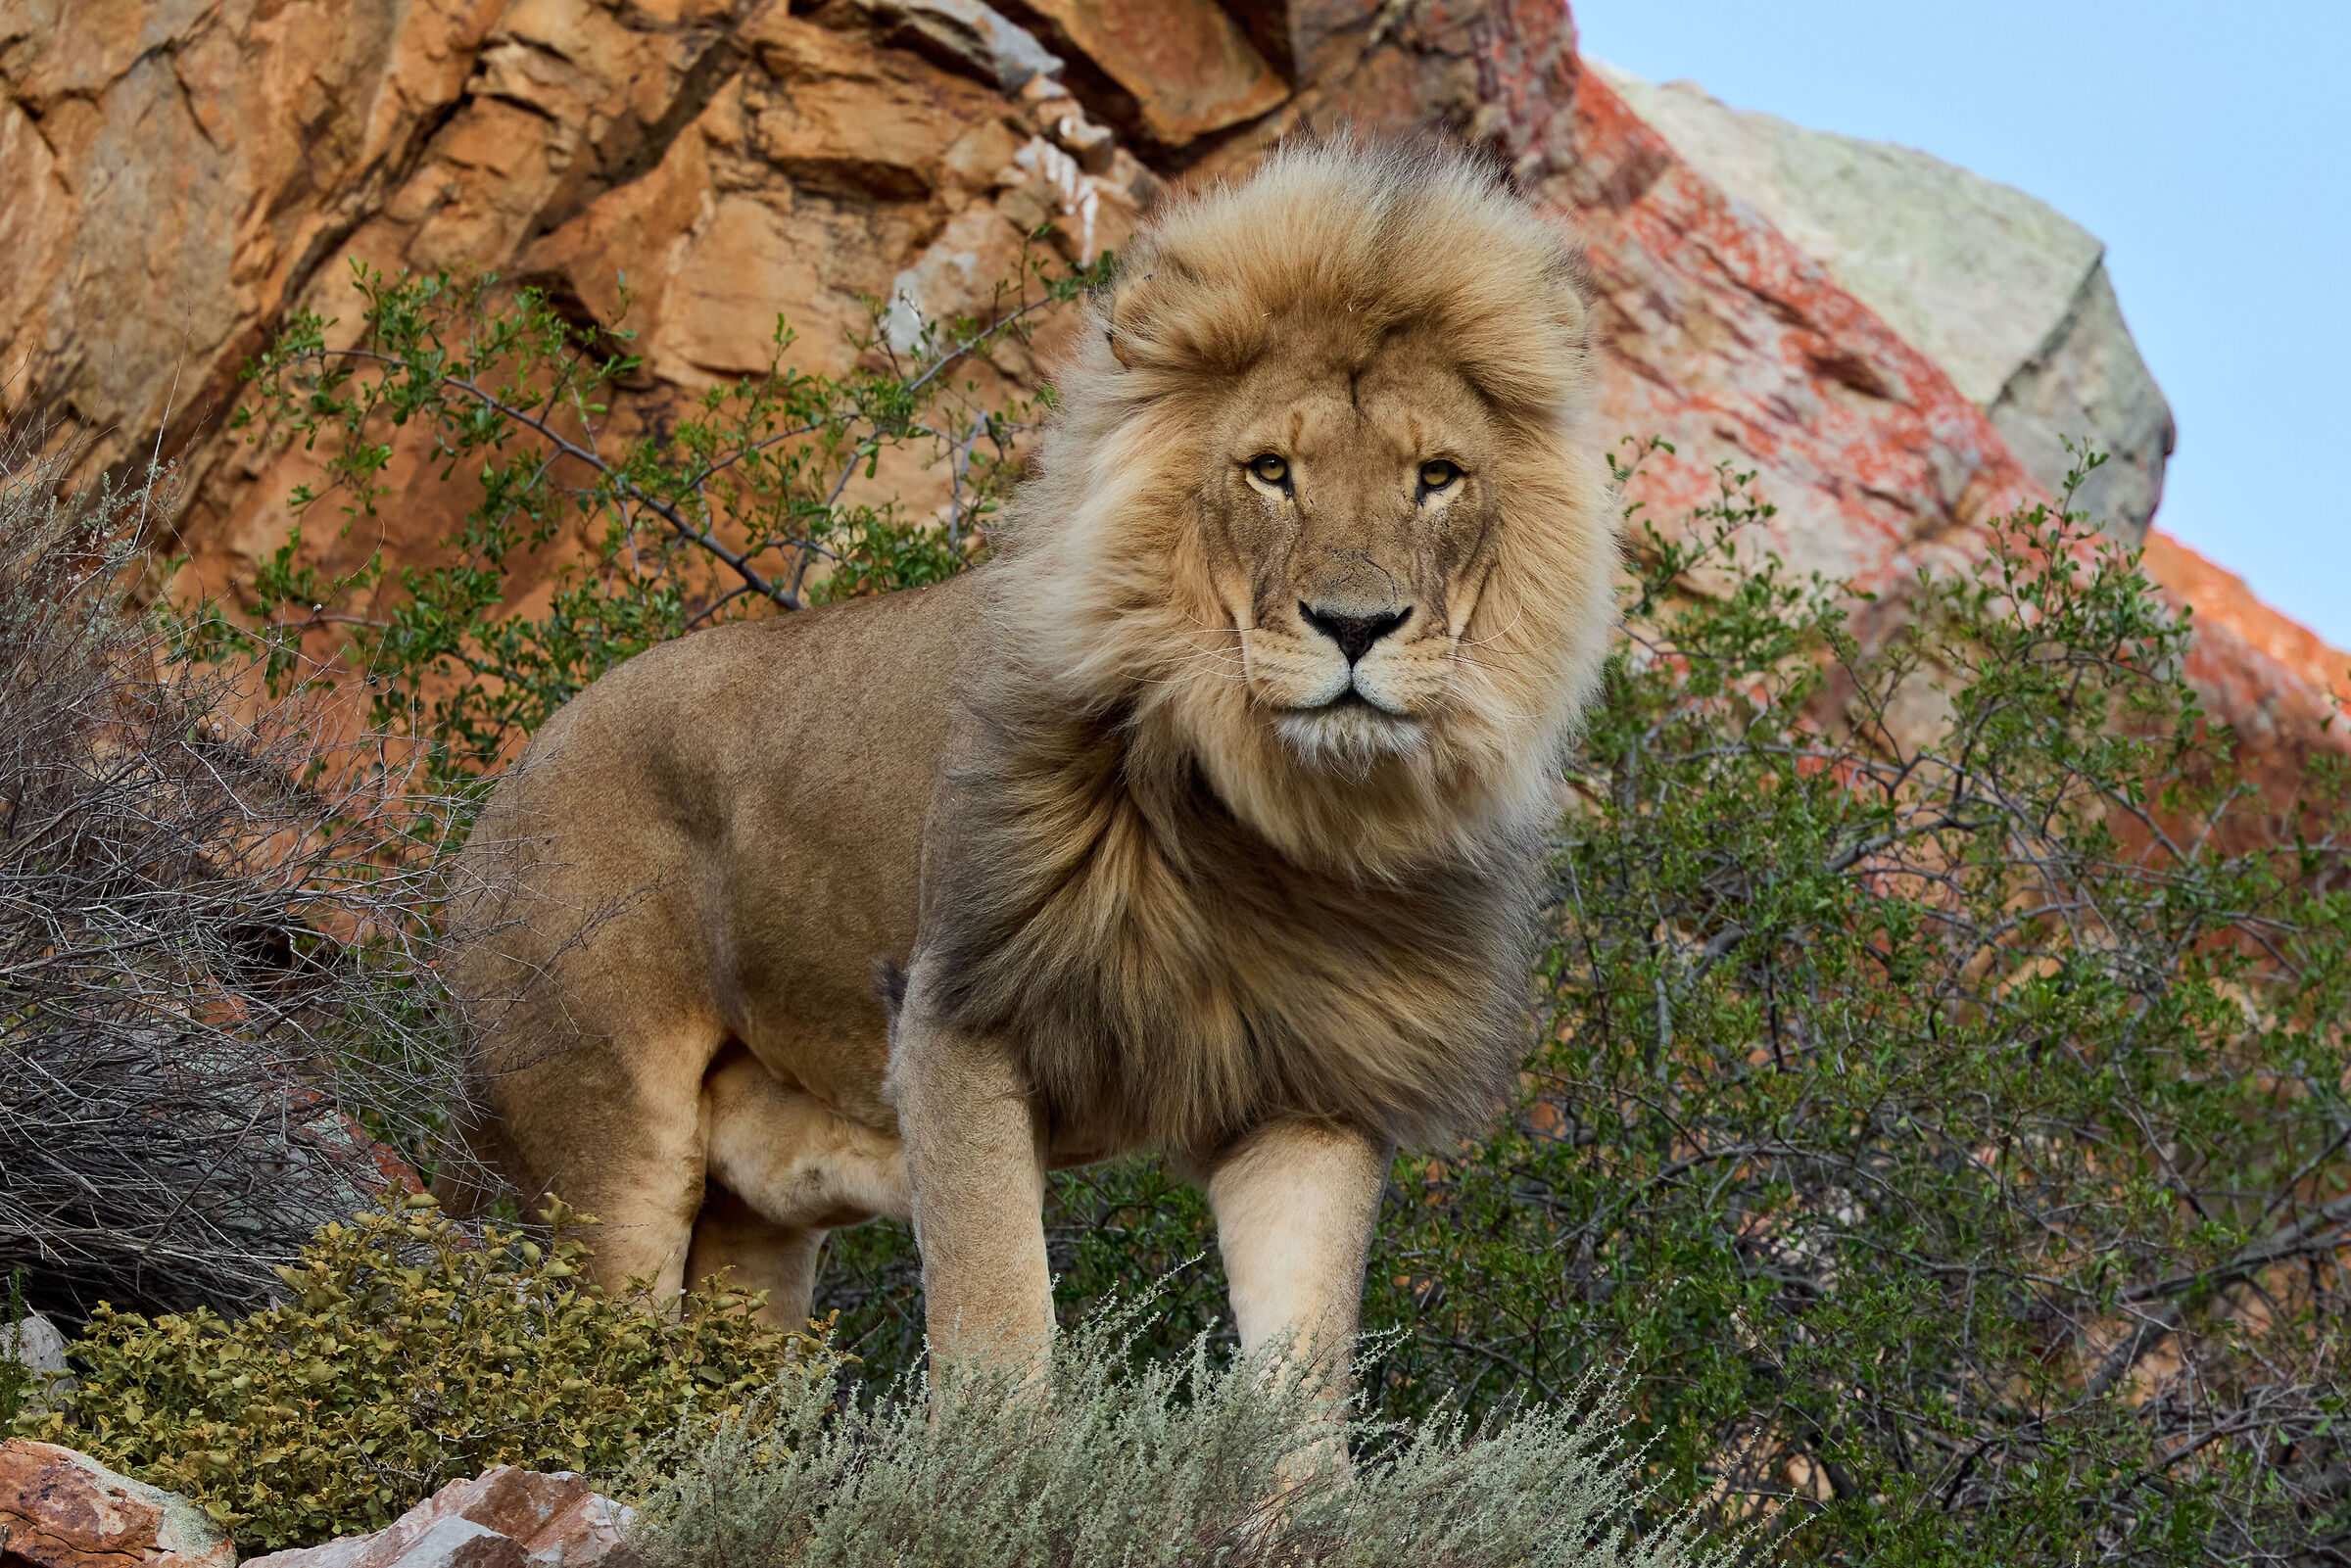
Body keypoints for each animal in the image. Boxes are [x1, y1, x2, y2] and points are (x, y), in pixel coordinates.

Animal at [441, 140, 1618, 1388]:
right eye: (1270, 470)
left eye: (1437, 476)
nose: (1357, 625)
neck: (1274, 817)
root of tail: (514, 772)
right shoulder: (954, 1020)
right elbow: (1001, 1332)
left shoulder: (1312, 1094)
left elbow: (1301, 1381)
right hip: (600, 1144)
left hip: (752, 1223)